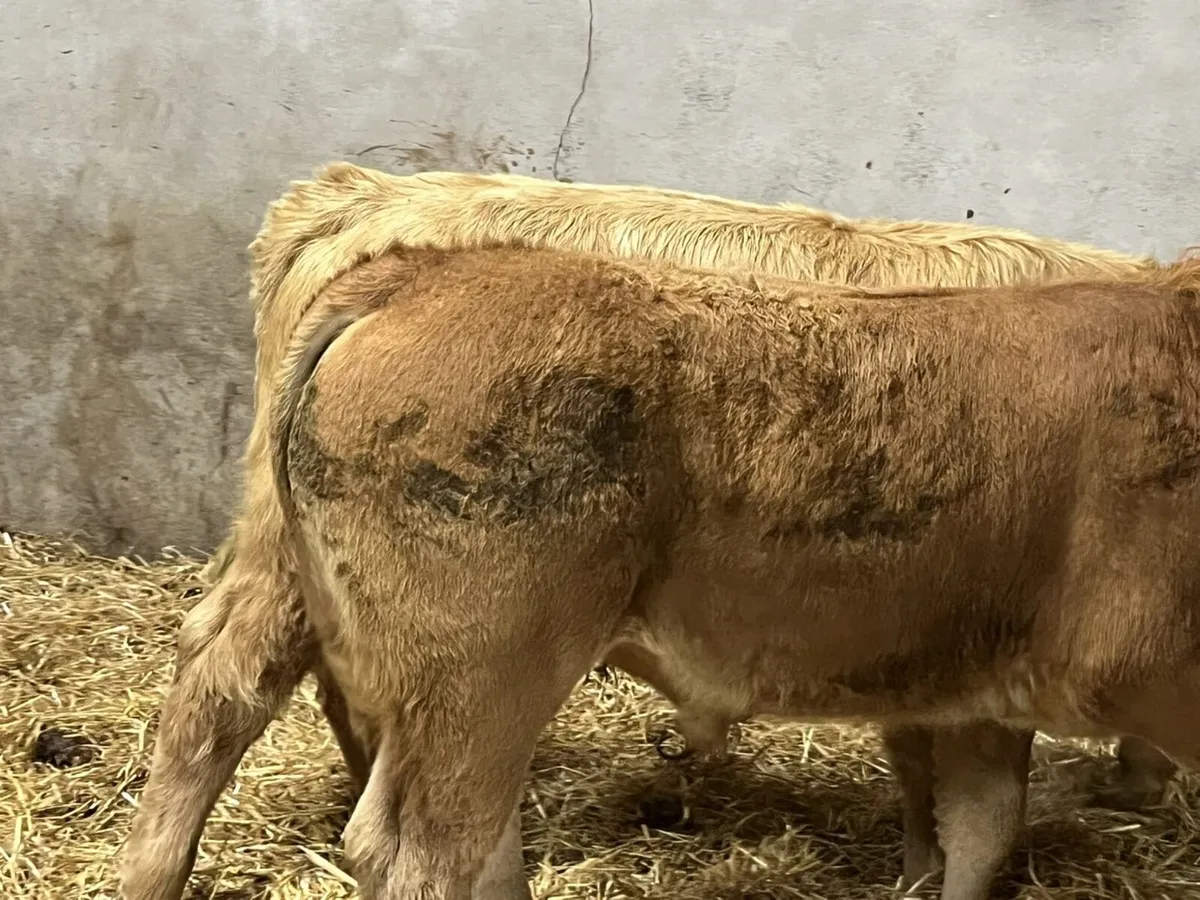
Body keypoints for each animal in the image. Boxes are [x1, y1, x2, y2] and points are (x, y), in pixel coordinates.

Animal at [126, 244, 1200, 900]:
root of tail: (425, 274)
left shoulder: (973, 682)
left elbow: (977, 825)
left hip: (316, 598)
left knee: (222, 696)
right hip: (484, 670)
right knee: (420, 845)